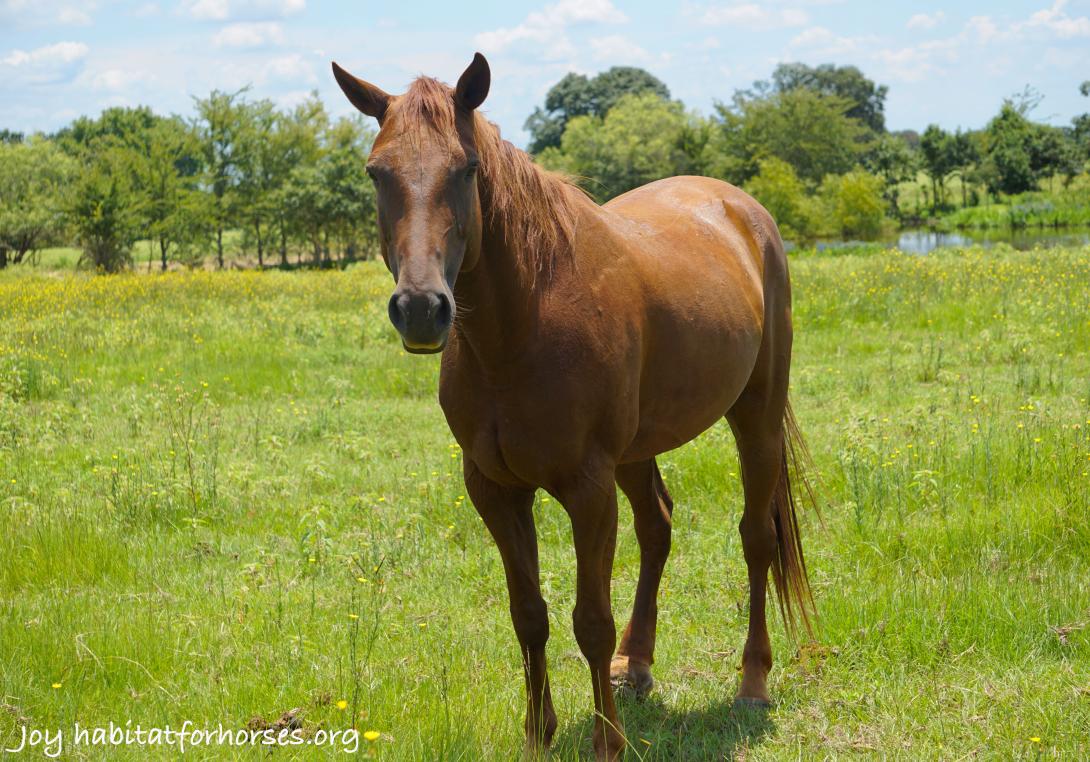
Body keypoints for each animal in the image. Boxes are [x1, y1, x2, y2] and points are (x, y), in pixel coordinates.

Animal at [335, 53, 815, 762]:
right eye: (377, 171)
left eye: (467, 168)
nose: (421, 309)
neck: (520, 330)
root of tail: (743, 209)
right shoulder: (495, 489)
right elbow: (528, 614)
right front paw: (540, 731)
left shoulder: (587, 488)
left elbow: (589, 619)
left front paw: (606, 740)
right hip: (638, 451)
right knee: (658, 528)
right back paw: (635, 666)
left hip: (755, 415)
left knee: (757, 538)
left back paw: (751, 683)